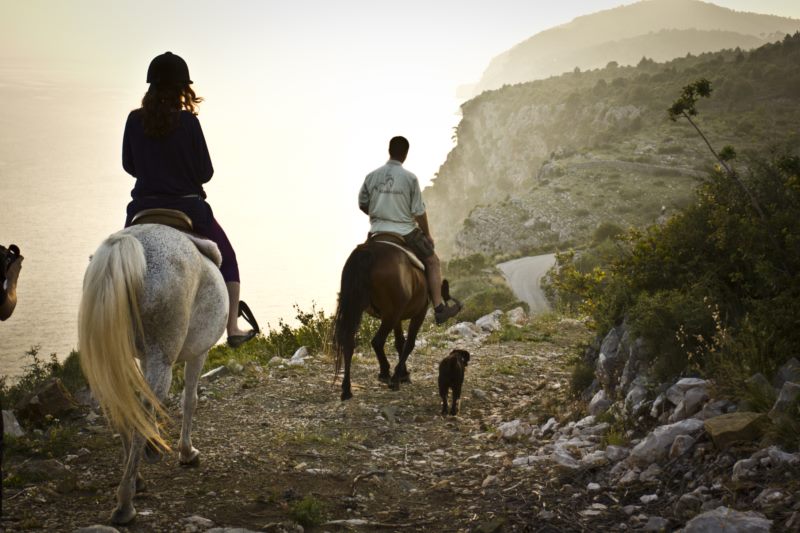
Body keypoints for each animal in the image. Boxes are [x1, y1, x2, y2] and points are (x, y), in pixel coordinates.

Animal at [78, 223, 227, 524]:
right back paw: (125, 502)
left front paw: (155, 446)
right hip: (162, 357)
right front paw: (186, 452)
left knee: (122, 406)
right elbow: (189, 400)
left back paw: (137, 481)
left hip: (116, 356)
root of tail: (124, 243)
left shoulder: (144, 359)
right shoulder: (198, 352)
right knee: (142, 411)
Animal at [332, 238, 434, 400]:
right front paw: (399, 375)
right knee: (377, 341)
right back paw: (387, 374)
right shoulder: (419, 313)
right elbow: (409, 343)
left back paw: (347, 389)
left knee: (349, 341)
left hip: (358, 307)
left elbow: (400, 343)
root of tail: (368, 251)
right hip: (390, 314)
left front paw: (404, 374)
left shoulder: (398, 317)